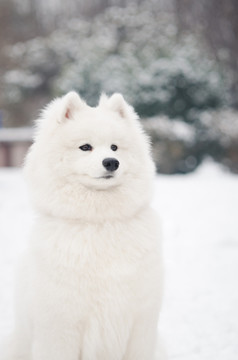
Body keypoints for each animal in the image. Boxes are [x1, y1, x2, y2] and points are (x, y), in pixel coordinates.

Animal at [0, 91, 165, 358]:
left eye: (115, 147)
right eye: (85, 147)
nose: (111, 162)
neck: (99, 222)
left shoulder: (140, 324)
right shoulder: (60, 328)